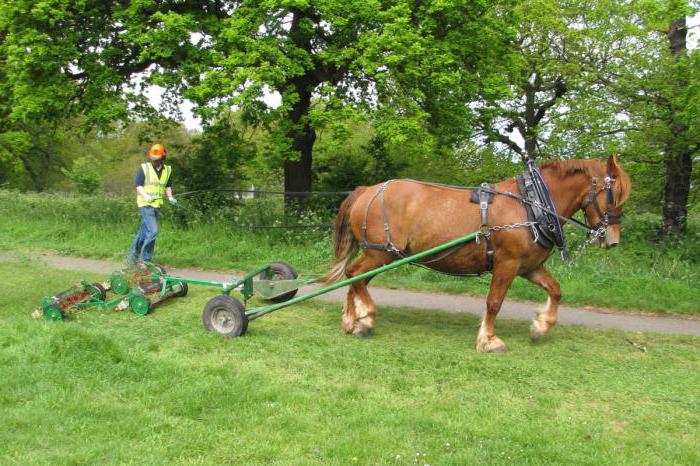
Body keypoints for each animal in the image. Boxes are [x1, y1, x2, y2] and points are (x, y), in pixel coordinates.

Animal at [326, 155, 632, 352]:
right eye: (613, 195)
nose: (613, 240)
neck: (532, 205)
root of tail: (368, 189)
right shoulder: (507, 264)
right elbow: (494, 302)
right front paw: (489, 340)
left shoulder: (529, 267)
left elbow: (555, 290)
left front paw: (541, 326)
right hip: (381, 253)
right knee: (354, 274)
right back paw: (364, 318)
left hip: (380, 254)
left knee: (357, 280)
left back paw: (353, 320)